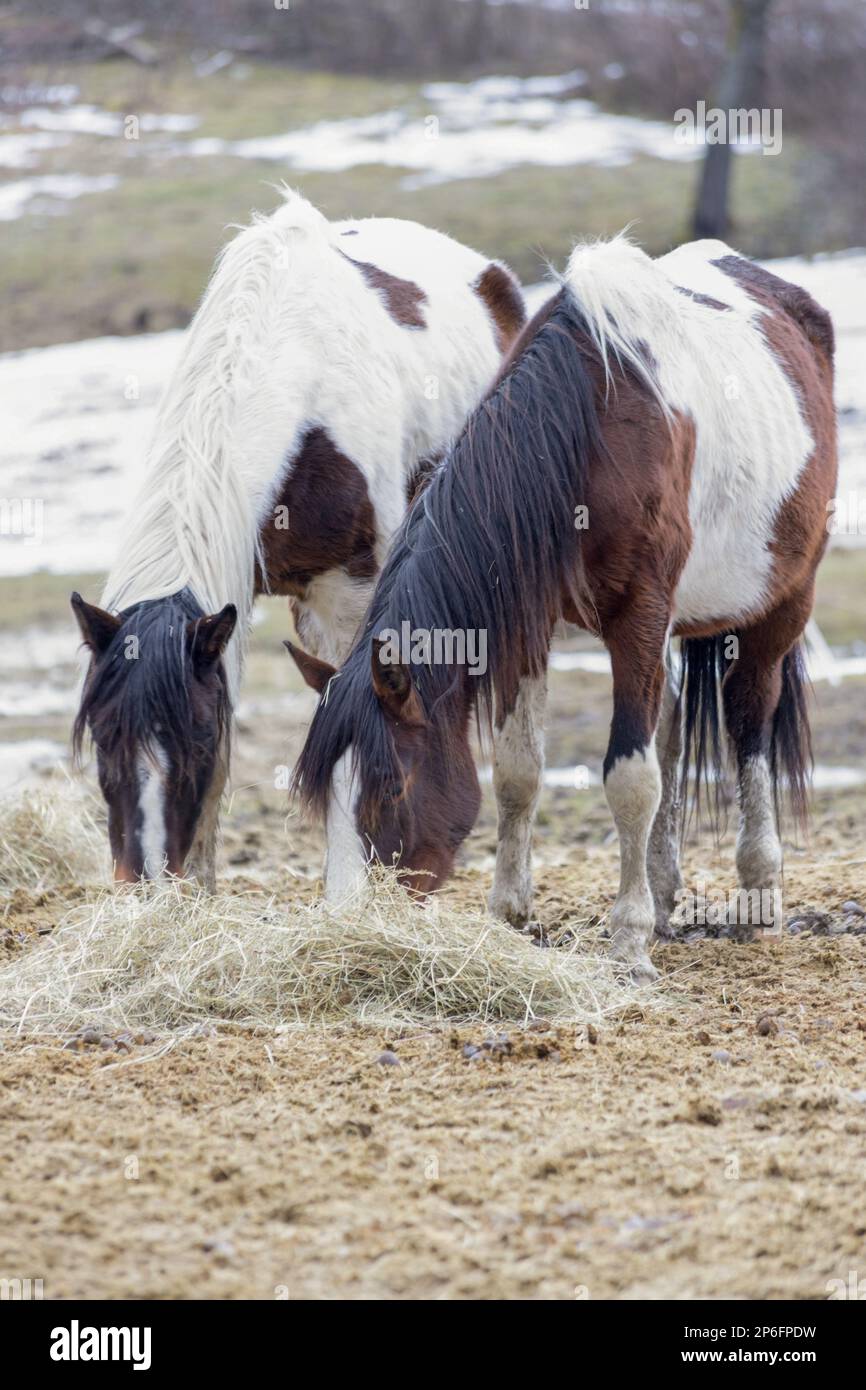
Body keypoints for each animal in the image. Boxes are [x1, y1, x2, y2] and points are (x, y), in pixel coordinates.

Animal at [293, 236, 839, 978]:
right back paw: (665, 888)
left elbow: (630, 778)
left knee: (750, 714)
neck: (588, 431)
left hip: (783, 601)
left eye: (394, 789)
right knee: (673, 725)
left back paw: (758, 891)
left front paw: (629, 942)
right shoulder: (534, 618)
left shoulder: (640, 614)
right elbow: (519, 770)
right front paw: (509, 911)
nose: (348, 930)